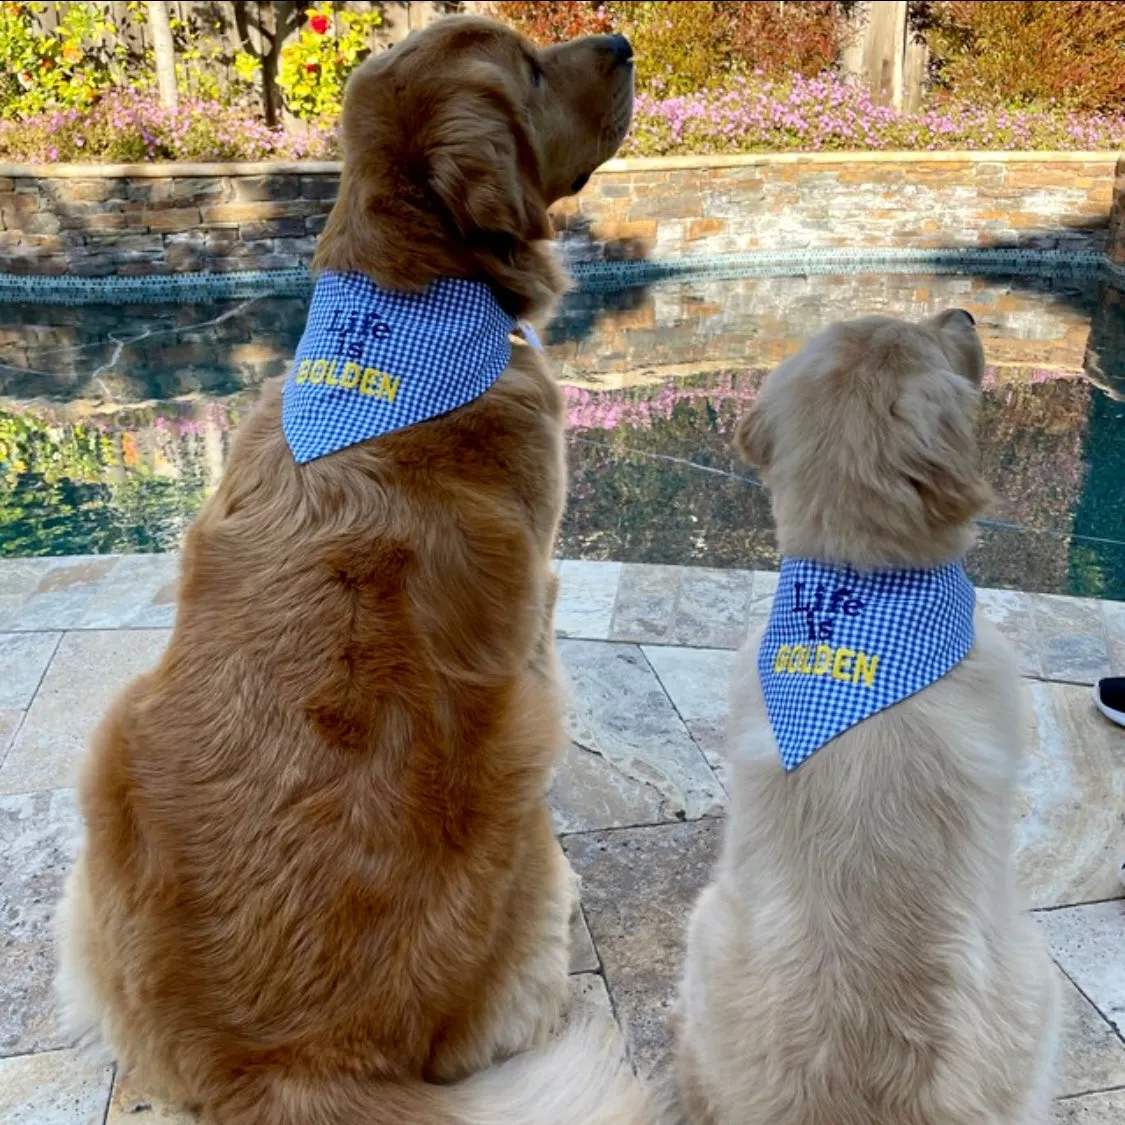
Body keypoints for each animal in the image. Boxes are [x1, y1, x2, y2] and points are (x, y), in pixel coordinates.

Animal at [54, 15, 652, 1125]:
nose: (622, 40)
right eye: (532, 68)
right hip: (521, 771)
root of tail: (291, 1066)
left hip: (111, 749)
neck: (405, 305)